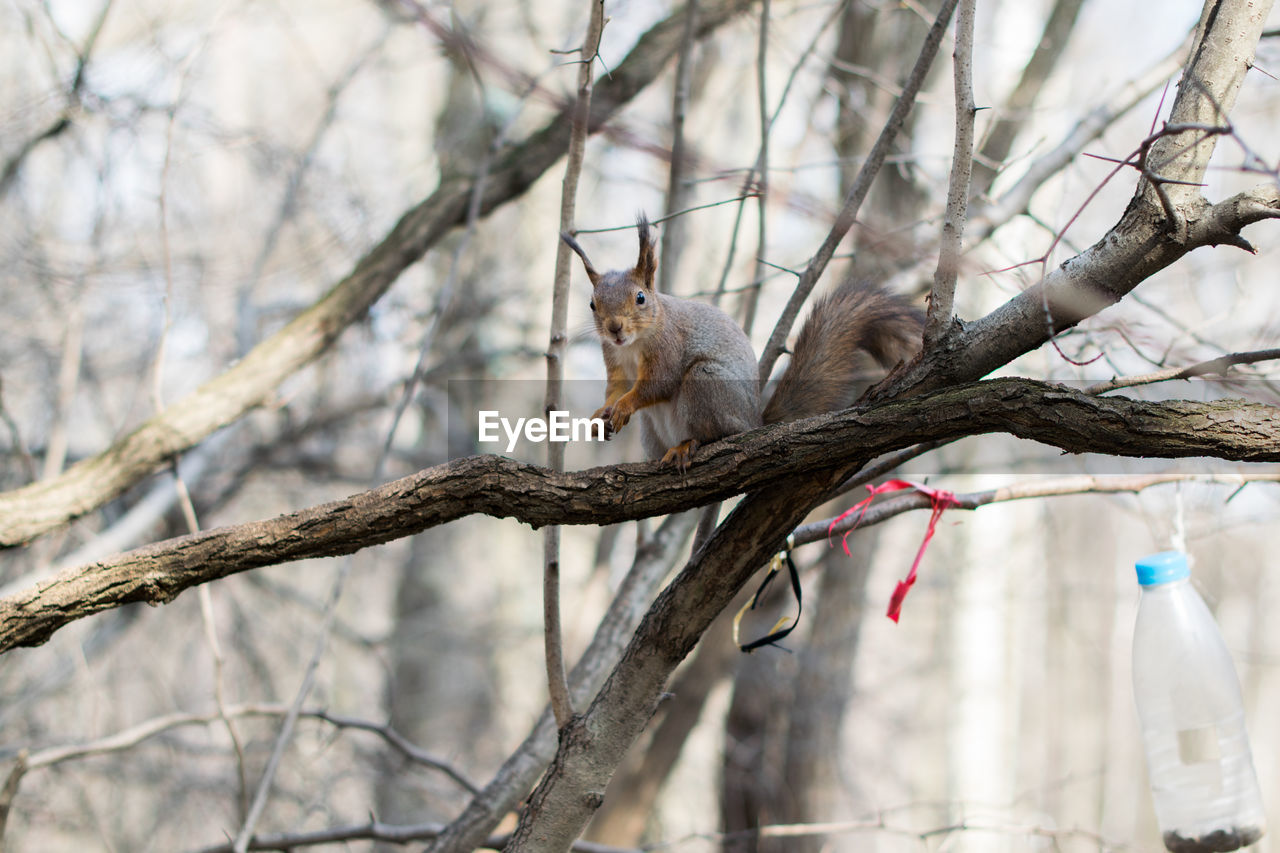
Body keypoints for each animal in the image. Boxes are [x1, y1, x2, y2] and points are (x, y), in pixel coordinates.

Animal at [563, 211, 921, 466]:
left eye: (640, 298)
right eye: (592, 304)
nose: (614, 328)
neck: (634, 345)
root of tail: (754, 421)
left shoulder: (669, 346)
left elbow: (657, 384)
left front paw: (624, 405)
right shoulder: (614, 358)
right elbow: (617, 387)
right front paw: (601, 414)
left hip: (706, 385)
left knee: (716, 434)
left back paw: (687, 445)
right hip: (651, 430)